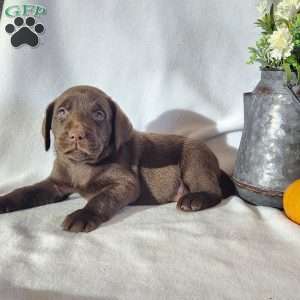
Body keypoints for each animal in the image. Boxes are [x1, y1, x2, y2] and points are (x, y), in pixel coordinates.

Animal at [0, 86, 234, 232]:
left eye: (99, 115)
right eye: (62, 112)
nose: (76, 135)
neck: (81, 166)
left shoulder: (125, 183)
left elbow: (101, 199)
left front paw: (83, 215)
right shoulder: (55, 184)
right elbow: (26, 191)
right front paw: (4, 201)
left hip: (195, 156)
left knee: (214, 191)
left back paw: (194, 199)